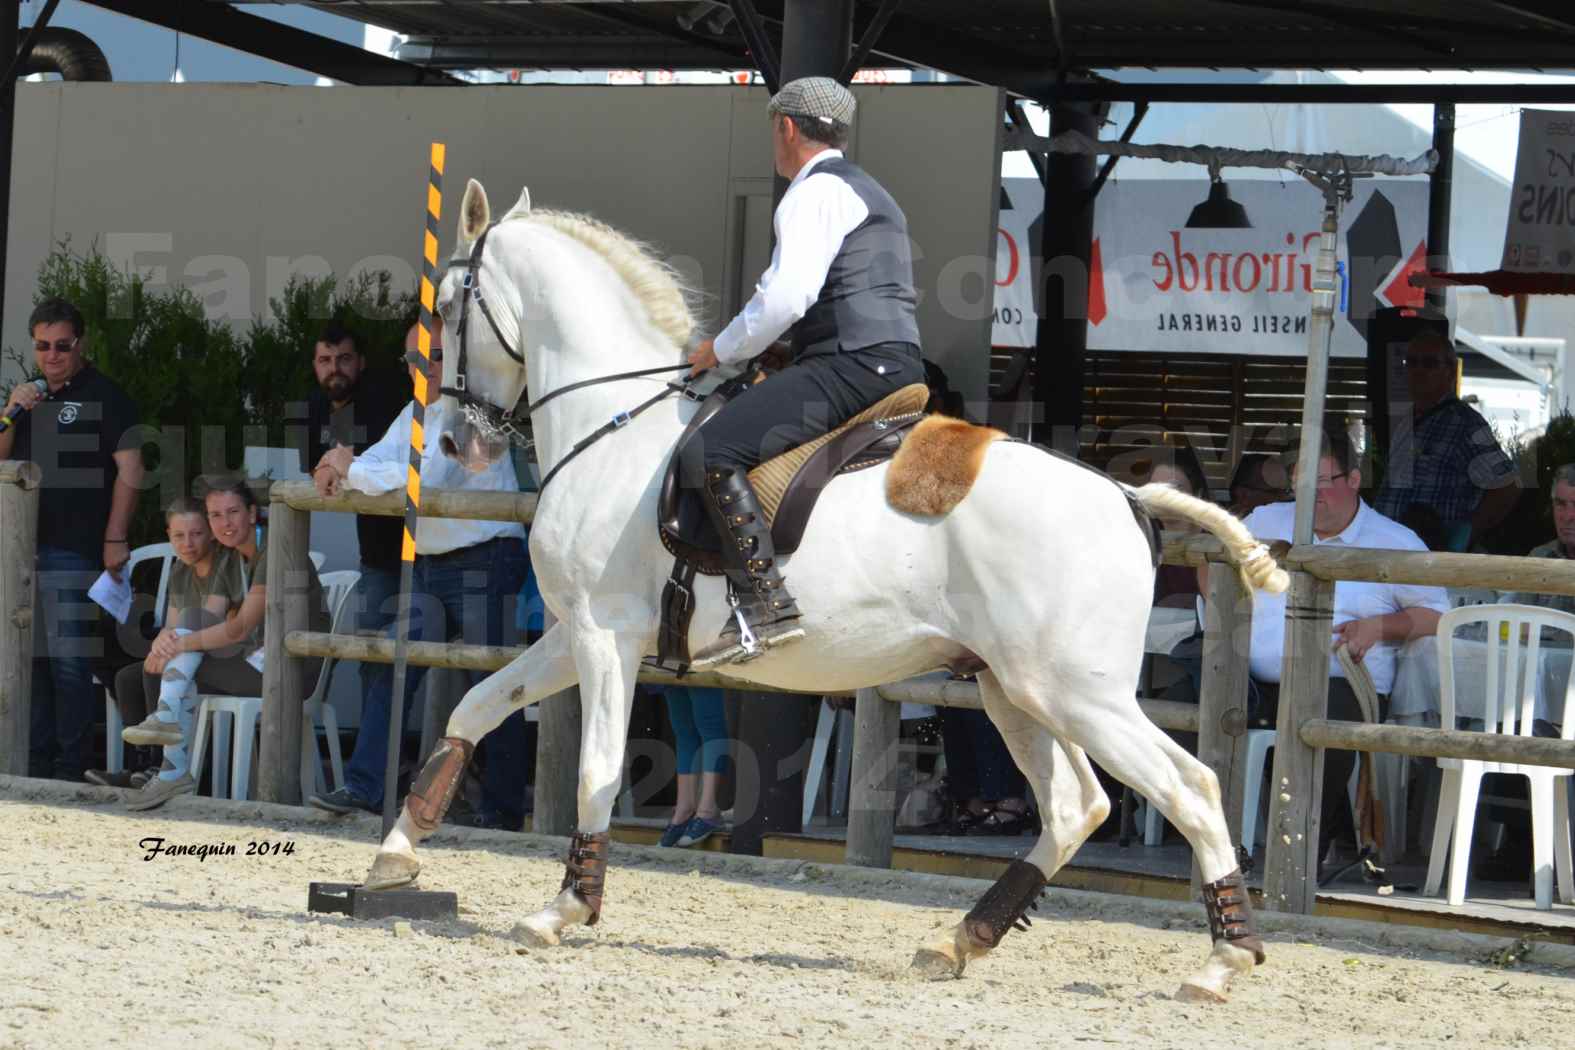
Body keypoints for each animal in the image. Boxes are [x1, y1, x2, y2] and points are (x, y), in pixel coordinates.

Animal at [368, 178, 1291, 1001]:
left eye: (448, 308)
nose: (455, 443)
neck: (615, 427)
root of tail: (1125, 496)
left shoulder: (604, 637)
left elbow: (593, 770)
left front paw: (563, 908)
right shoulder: (576, 633)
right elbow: (475, 707)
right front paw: (395, 853)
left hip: (1075, 692)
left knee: (1189, 788)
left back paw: (1223, 961)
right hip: (1015, 689)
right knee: (1075, 807)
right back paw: (960, 940)